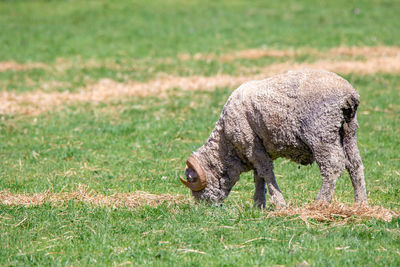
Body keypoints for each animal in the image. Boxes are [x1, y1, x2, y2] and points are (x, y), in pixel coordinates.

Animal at [180, 69, 368, 209]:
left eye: (191, 180)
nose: (202, 208)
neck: (226, 145)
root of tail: (349, 94)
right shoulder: (258, 149)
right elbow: (258, 176)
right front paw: (258, 205)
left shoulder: (252, 145)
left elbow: (266, 173)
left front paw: (279, 203)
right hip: (348, 131)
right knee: (355, 165)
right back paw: (361, 204)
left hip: (321, 133)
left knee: (333, 166)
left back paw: (320, 202)